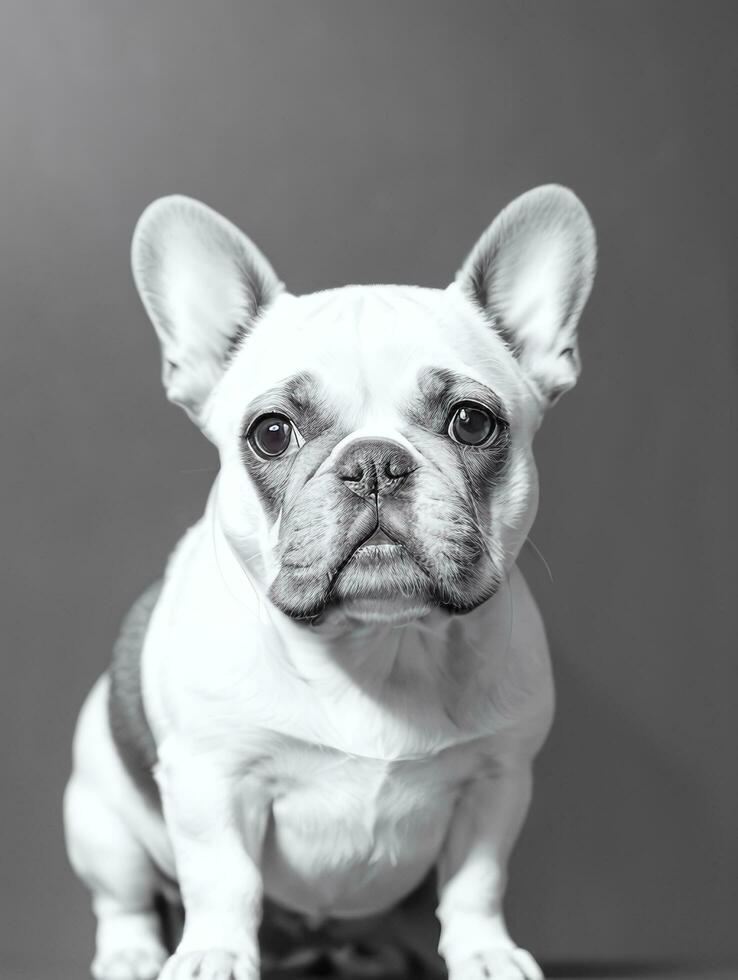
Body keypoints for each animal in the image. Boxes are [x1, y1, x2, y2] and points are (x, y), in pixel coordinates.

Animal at [61, 188, 592, 980]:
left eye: (472, 422)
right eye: (272, 432)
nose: (374, 462)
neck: (378, 645)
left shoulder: (497, 782)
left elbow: (477, 881)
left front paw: (485, 953)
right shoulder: (214, 780)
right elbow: (224, 879)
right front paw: (214, 954)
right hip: (101, 822)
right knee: (122, 900)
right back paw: (132, 954)